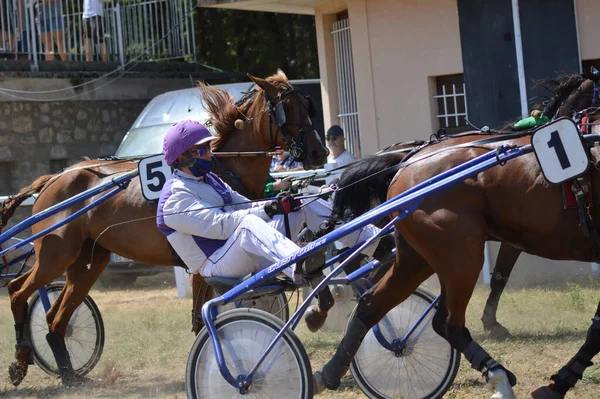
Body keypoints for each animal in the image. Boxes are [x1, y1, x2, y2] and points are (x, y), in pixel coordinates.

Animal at [1, 71, 328, 388]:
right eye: (287, 109)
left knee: (56, 319)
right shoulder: (202, 267)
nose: (319, 151)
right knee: (17, 291)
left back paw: (70, 375)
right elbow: (203, 316)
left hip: (88, 263)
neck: (222, 168)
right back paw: (20, 361)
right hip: (56, 254)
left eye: (306, 104)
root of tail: (53, 179)